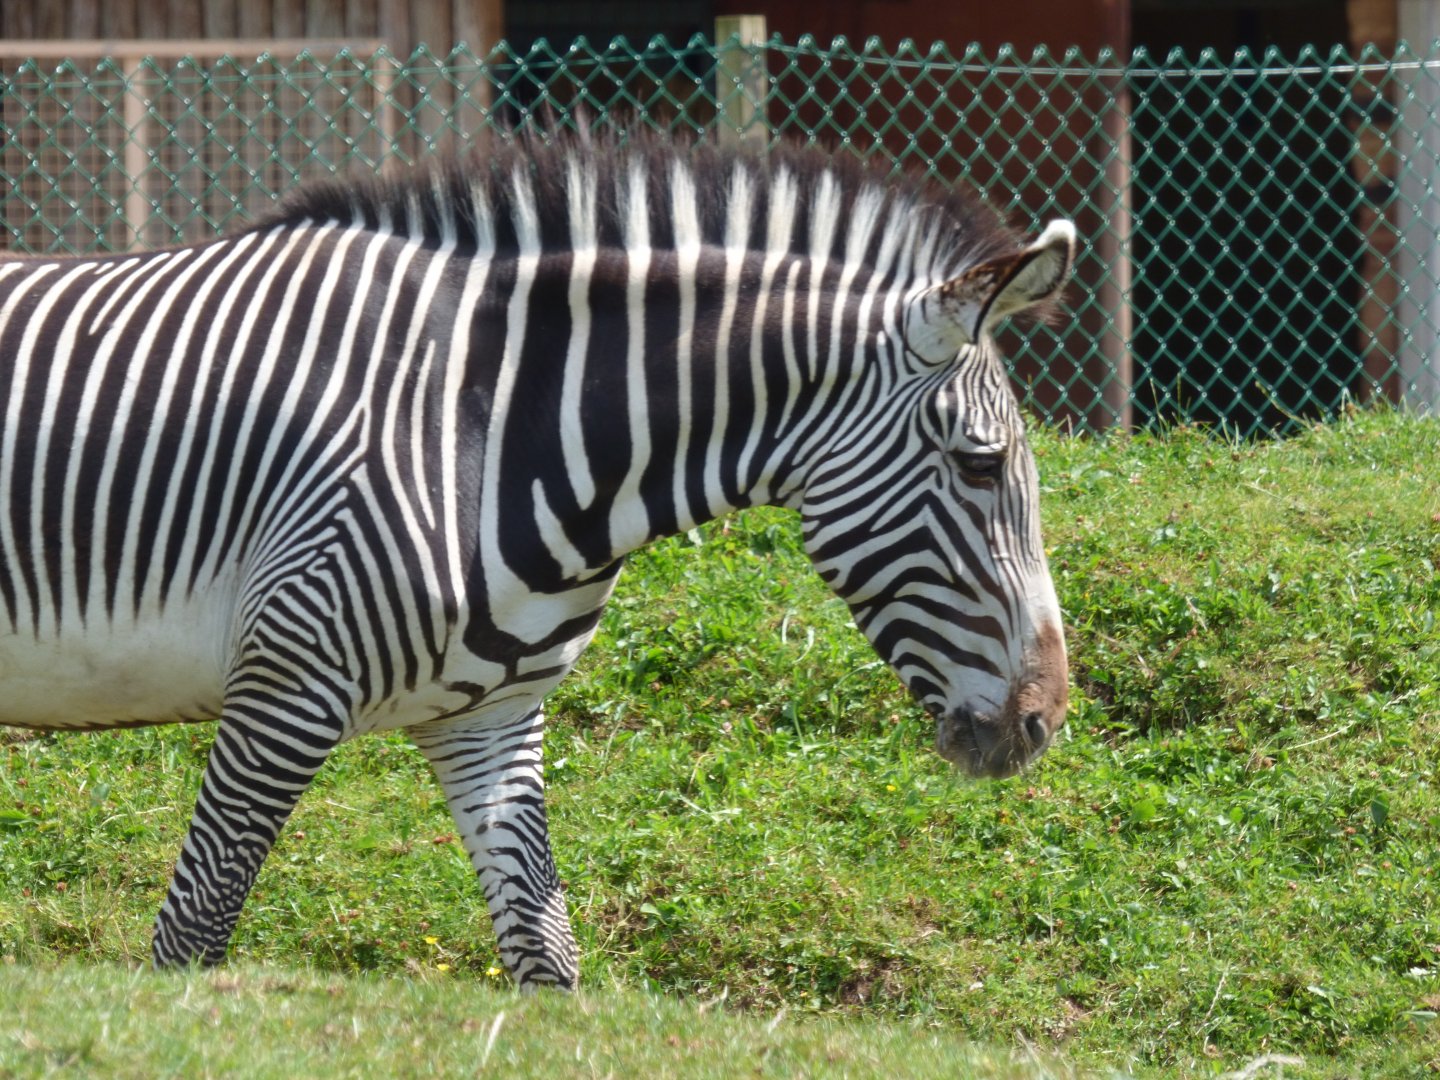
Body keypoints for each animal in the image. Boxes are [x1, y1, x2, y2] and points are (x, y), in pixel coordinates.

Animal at [0, 131, 1074, 989]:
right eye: (982, 465)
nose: (1043, 723)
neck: (489, 423)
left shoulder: (493, 718)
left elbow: (546, 958)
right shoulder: (286, 680)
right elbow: (190, 939)